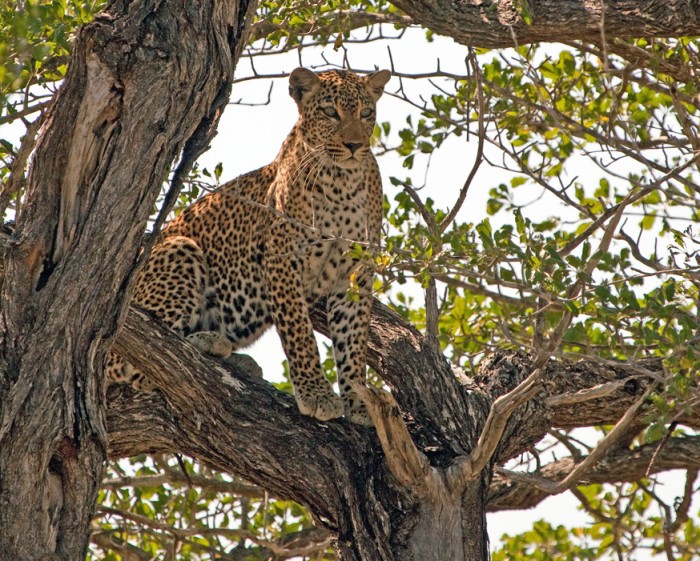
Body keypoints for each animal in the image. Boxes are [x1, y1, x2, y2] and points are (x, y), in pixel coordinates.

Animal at [108, 66, 394, 424]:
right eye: (331, 112)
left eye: (367, 113)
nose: (355, 144)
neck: (342, 181)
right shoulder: (283, 258)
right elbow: (300, 333)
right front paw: (316, 393)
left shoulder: (356, 272)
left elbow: (353, 341)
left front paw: (358, 400)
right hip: (178, 248)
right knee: (133, 361)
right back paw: (206, 343)